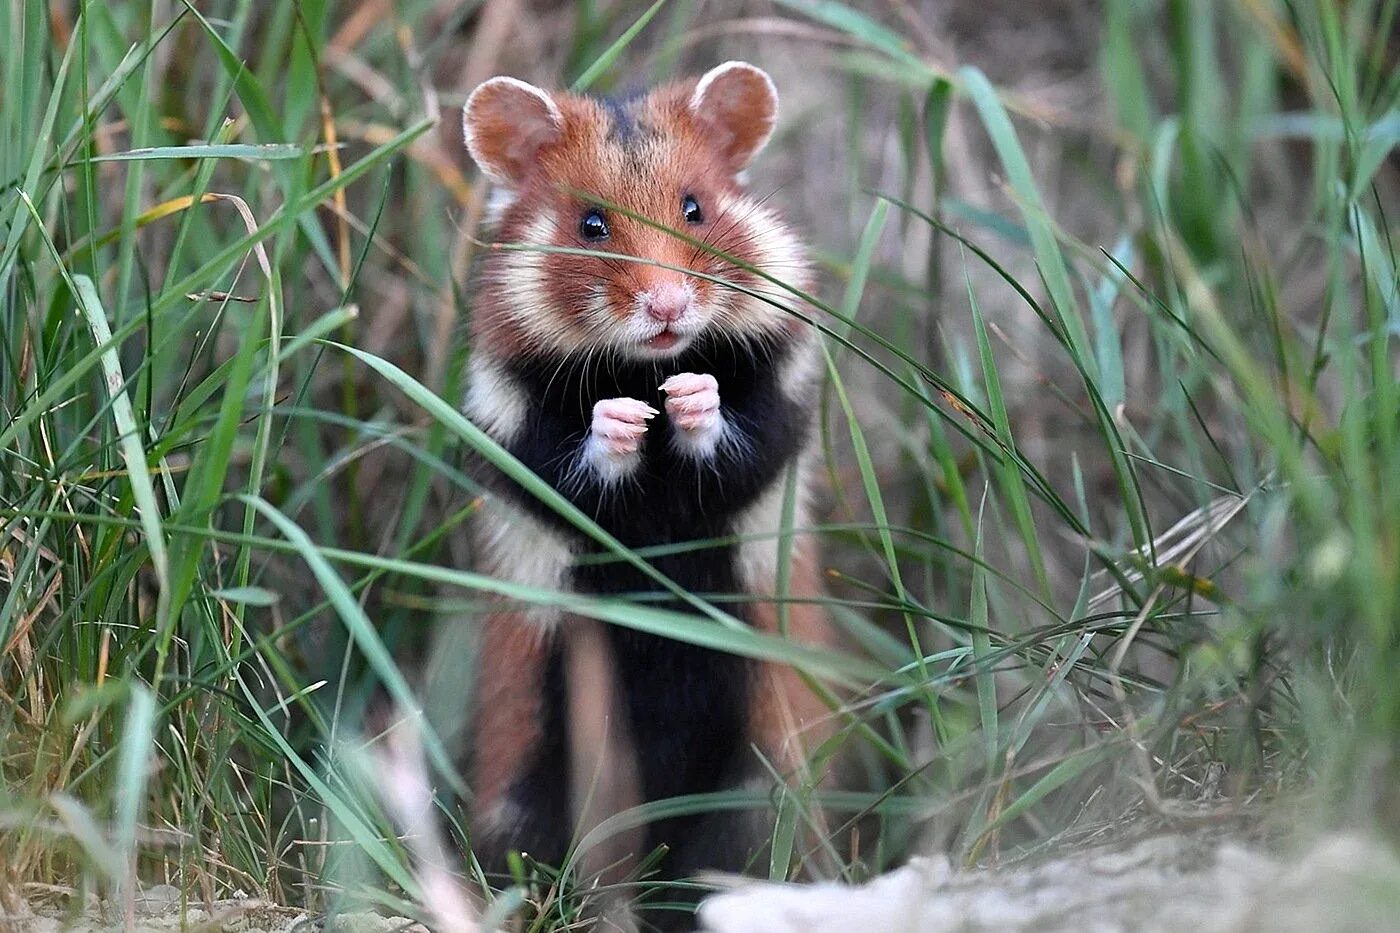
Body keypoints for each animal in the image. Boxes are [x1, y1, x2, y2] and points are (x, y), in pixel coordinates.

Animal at [459, 61, 834, 918]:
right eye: (591, 224)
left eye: (696, 207)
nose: (667, 306)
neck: (642, 363)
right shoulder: (508, 429)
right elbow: (569, 463)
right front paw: (625, 417)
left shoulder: (784, 404)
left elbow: (737, 437)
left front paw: (689, 395)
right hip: (533, 761)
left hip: (762, 766)